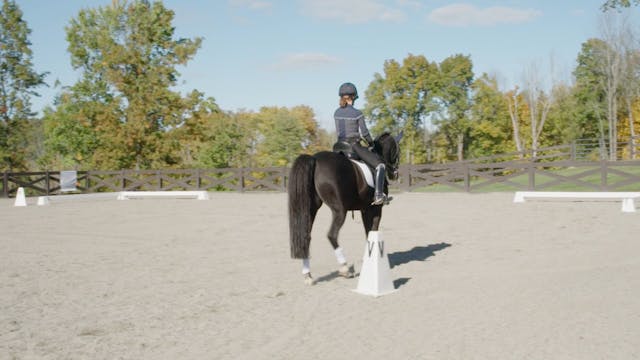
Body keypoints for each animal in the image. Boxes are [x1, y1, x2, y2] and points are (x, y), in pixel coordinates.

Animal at [288, 131, 402, 284]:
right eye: (398, 150)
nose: (395, 173)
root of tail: (315, 159)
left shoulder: (365, 209)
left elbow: (368, 232)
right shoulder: (376, 209)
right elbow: (372, 230)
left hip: (311, 209)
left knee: (306, 236)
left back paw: (308, 275)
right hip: (339, 211)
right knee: (332, 235)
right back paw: (344, 268)